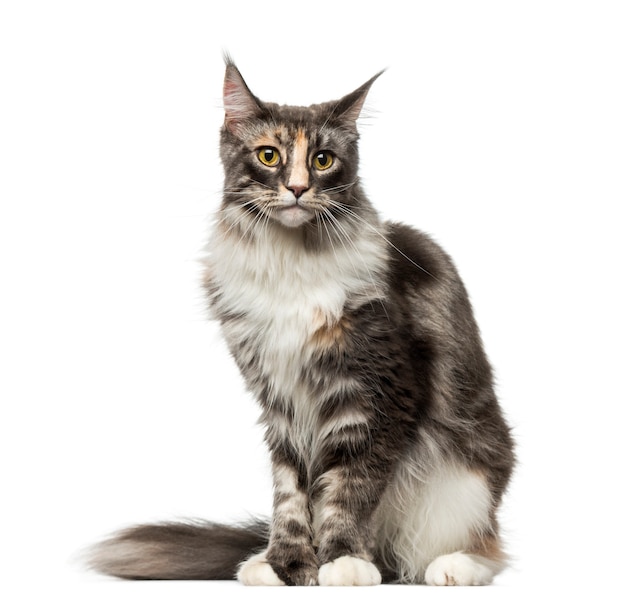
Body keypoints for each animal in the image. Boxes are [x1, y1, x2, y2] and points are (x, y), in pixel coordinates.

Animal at [90, 59, 516, 588]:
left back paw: (451, 566)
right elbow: (291, 490)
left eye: (323, 160)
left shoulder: (377, 393)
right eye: (269, 156)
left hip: (466, 478)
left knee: (483, 545)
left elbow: (348, 488)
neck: (290, 262)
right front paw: (286, 563)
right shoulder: (279, 398)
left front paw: (343, 560)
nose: (296, 188)